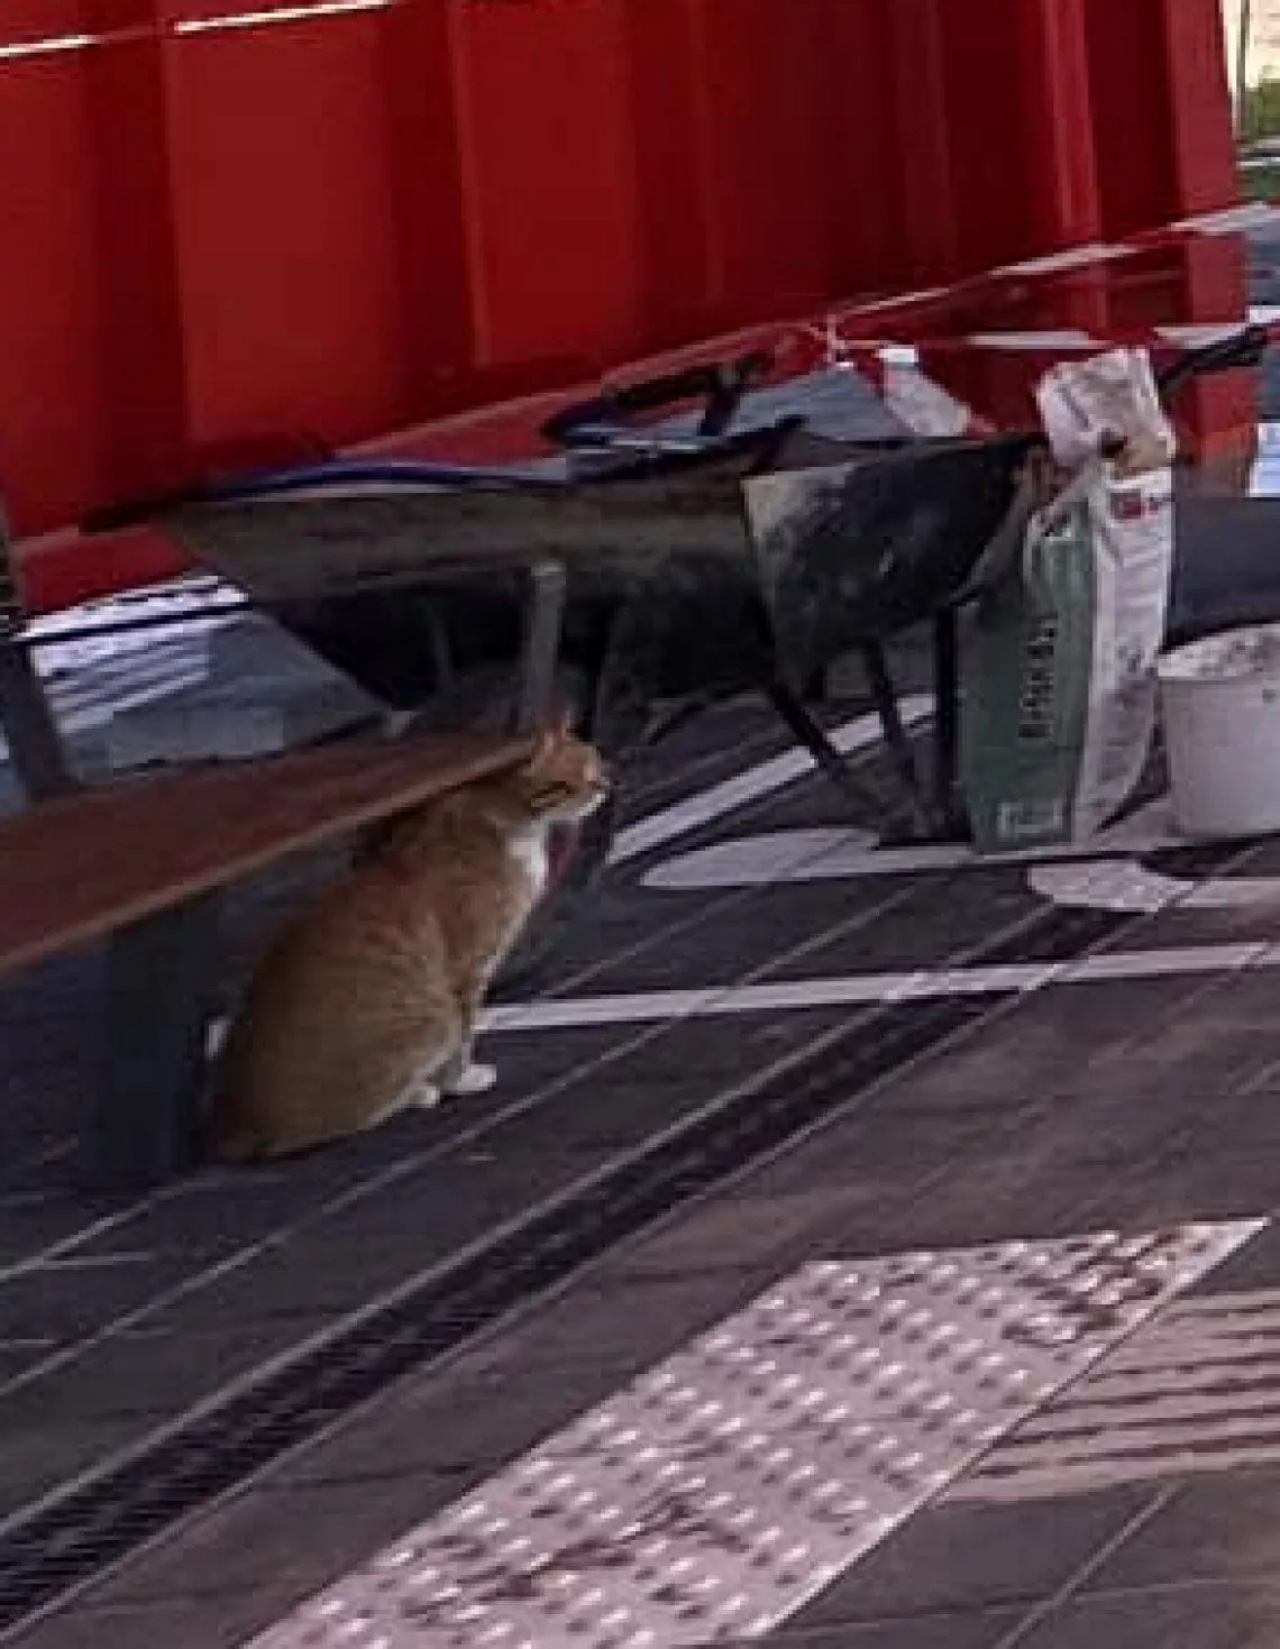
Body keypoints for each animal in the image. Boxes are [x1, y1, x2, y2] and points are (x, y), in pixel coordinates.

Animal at [207, 722, 607, 1160]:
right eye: (576, 776)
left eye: (597, 763)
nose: (604, 785)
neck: (500, 818)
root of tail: (235, 1127)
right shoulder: (467, 972)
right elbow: (464, 1040)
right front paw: (460, 1081)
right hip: (434, 1017)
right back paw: (418, 1094)